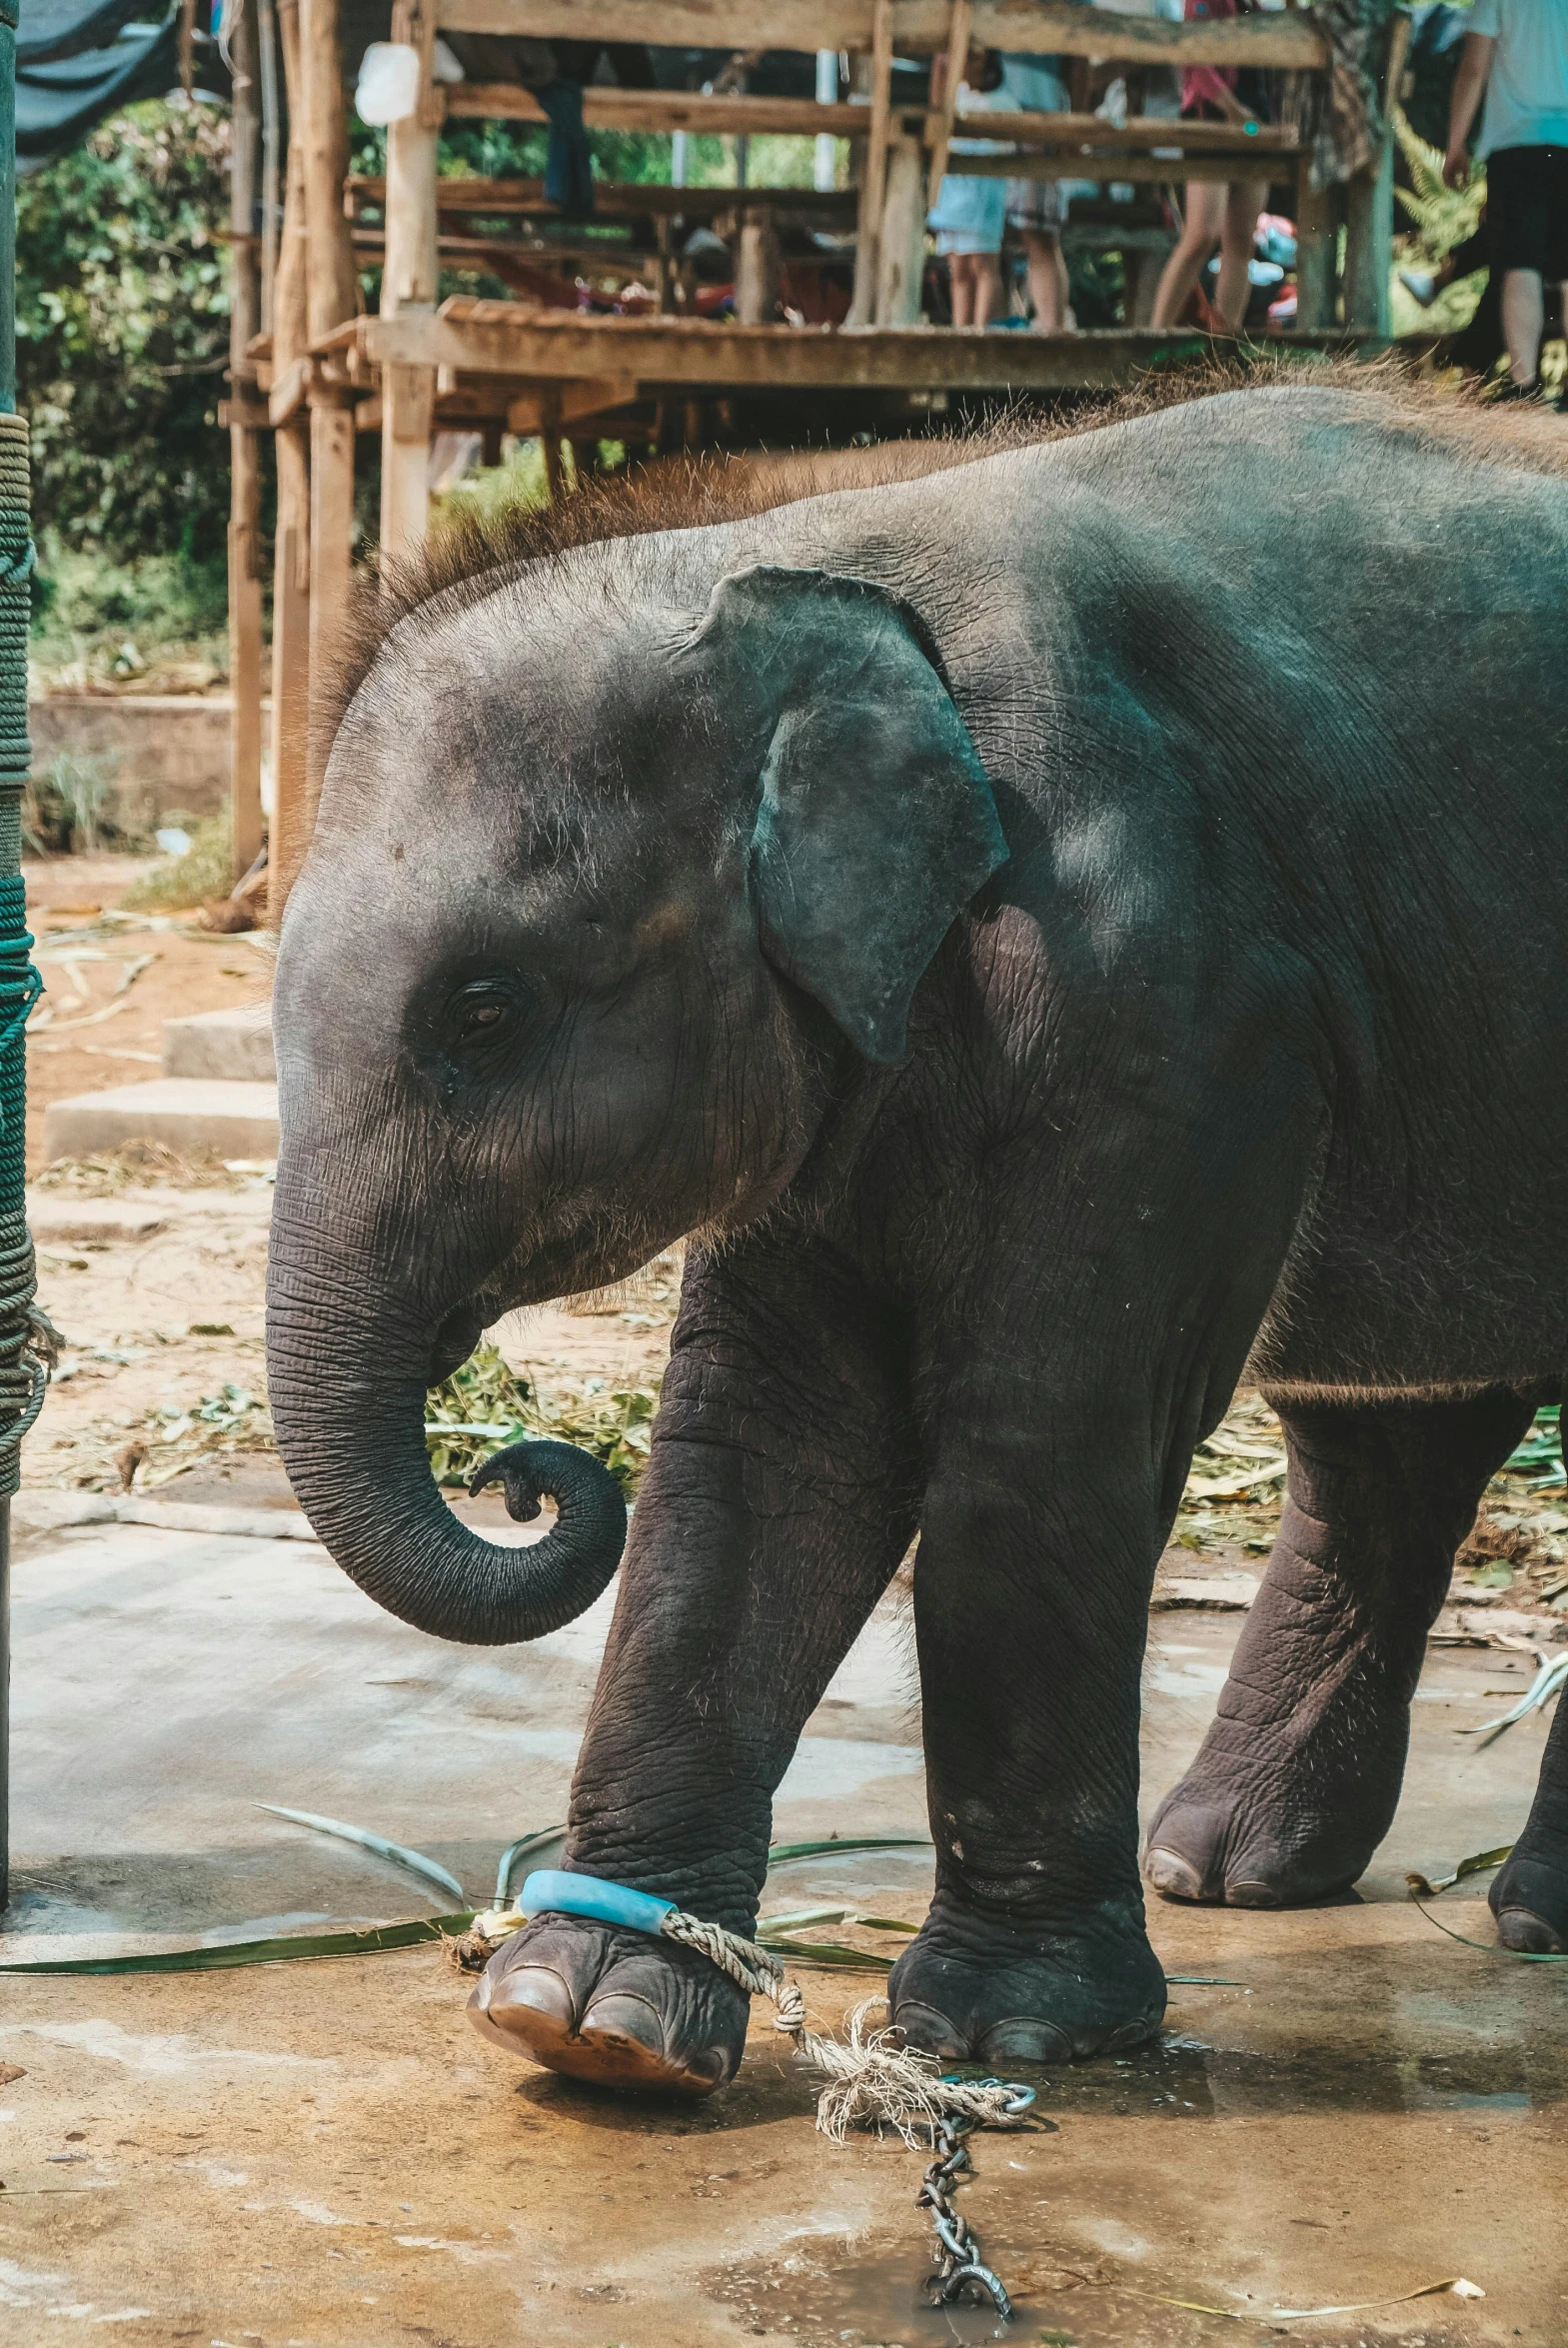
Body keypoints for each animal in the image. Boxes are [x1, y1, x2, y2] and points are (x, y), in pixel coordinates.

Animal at [270, 380, 1568, 2094]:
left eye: (482, 1011)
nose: (528, 1476)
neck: (805, 554)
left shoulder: (1164, 994)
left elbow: (1037, 1437)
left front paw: (1004, 2029)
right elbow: (771, 1442)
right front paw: (594, 2017)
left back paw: (1522, 1916)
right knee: (1390, 1436)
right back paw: (1221, 1871)